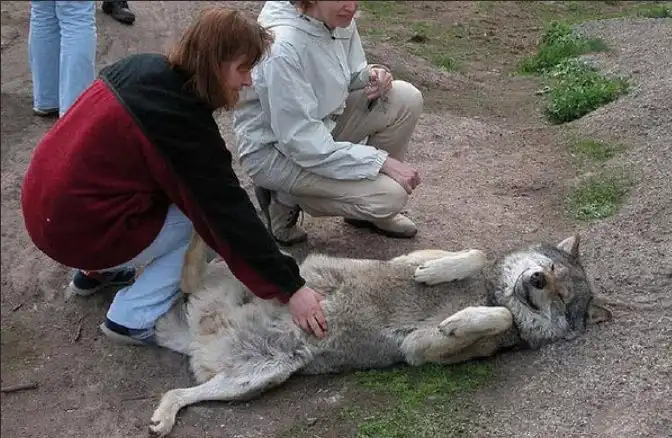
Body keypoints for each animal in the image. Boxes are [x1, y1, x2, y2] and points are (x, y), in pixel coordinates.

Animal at [148, 233, 612, 437]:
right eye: (548, 269)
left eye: (562, 295)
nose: (535, 280)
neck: (489, 291)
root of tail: (198, 334)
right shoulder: (414, 258)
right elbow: (475, 255)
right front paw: (437, 274)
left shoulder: (418, 349)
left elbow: (496, 316)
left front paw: (461, 319)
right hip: (276, 270)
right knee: (196, 272)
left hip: (258, 378)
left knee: (177, 390)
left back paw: (162, 419)